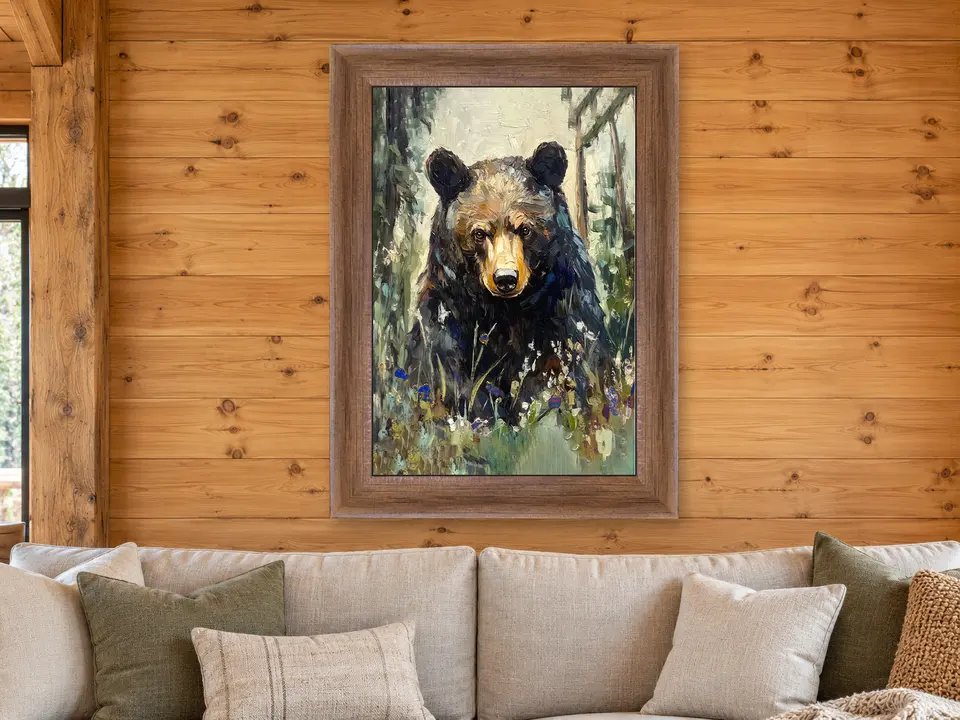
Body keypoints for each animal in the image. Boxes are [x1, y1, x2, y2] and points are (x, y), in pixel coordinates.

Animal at [405, 141, 613, 425]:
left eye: (525, 229)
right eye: (479, 233)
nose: (505, 278)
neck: (505, 310)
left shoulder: (565, 305)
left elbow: (572, 364)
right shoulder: (447, 310)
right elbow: (444, 372)